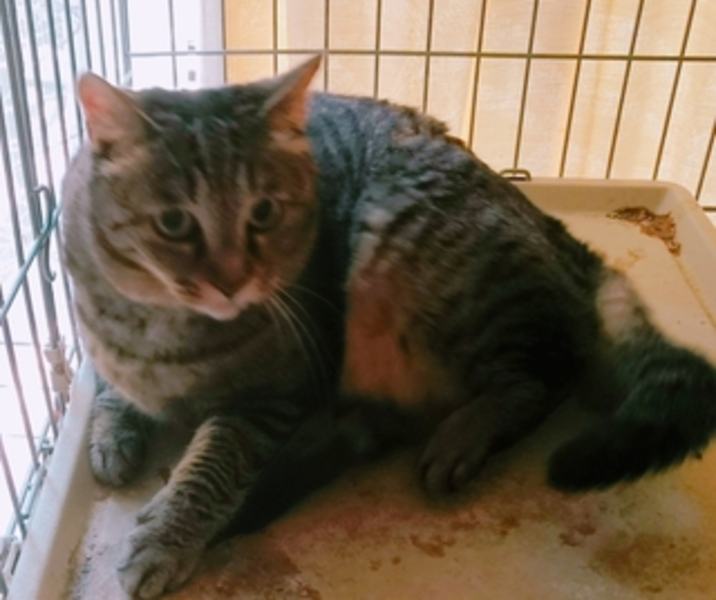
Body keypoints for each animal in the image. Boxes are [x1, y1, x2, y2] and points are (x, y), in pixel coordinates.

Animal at [62, 55, 716, 598]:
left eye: (264, 213)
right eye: (174, 223)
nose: (232, 281)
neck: (160, 327)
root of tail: (552, 227)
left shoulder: (277, 391)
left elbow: (212, 465)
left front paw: (165, 536)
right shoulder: (102, 349)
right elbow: (109, 388)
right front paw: (111, 435)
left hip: (407, 245)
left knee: (546, 370)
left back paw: (463, 435)